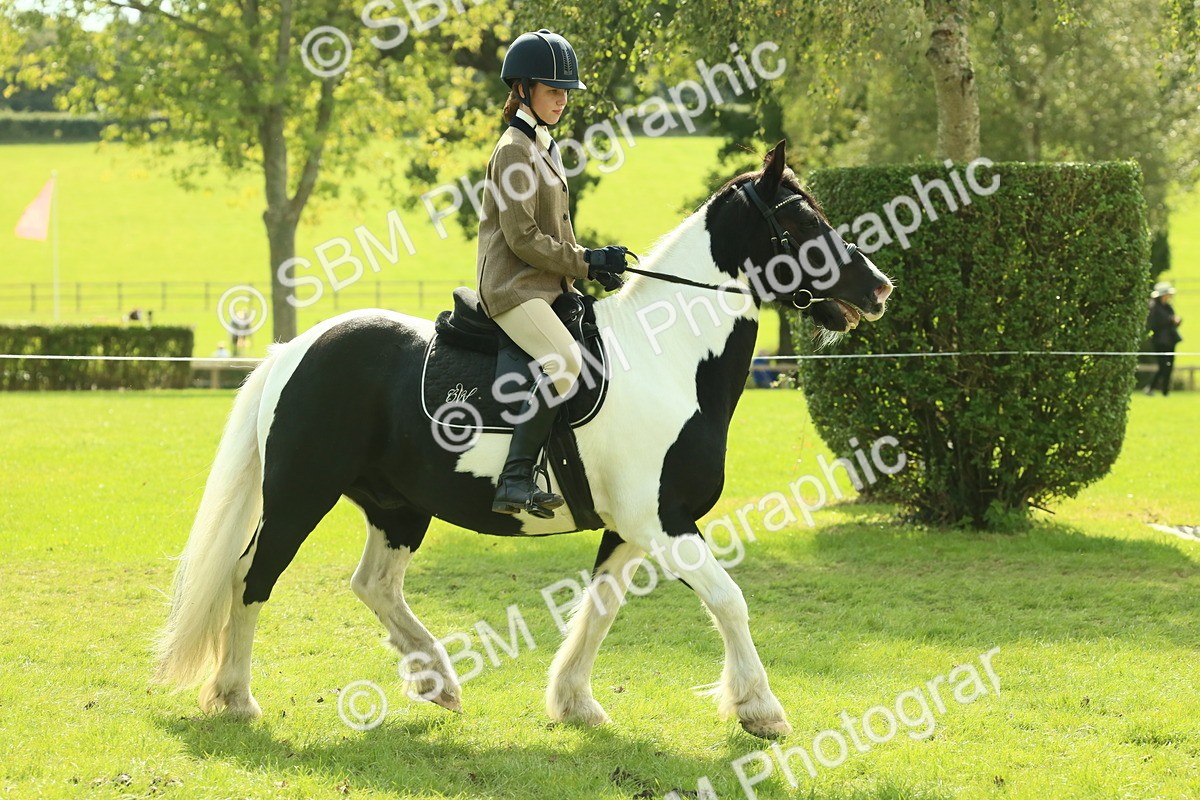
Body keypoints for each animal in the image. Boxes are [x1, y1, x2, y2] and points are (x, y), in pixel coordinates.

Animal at [155, 141, 893, 739]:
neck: (668, 360)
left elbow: (599, 610)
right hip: (301, 495)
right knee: (252, 578)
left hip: (398, 506)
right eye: (801, 222)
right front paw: (760, 710)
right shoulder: (663, 522)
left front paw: (575, 703)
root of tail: (294, 349)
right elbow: (728, 599)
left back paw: (439, 682)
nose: (879, 288)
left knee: (375, 585)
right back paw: (236, 698)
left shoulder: (630, 528)